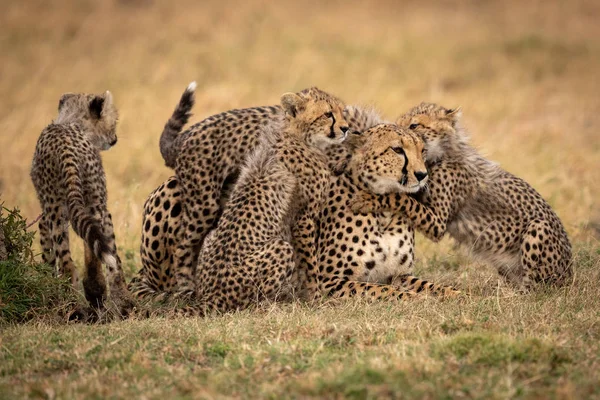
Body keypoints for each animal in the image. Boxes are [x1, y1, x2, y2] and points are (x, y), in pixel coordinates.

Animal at [352, 103, 572, 290]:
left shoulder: (437, 223)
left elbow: (402, 198)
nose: (401, 135)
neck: (442, 153)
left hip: (539, 228)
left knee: (538, 288)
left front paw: (367, 198)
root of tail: (570, 272)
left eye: (414, 125)